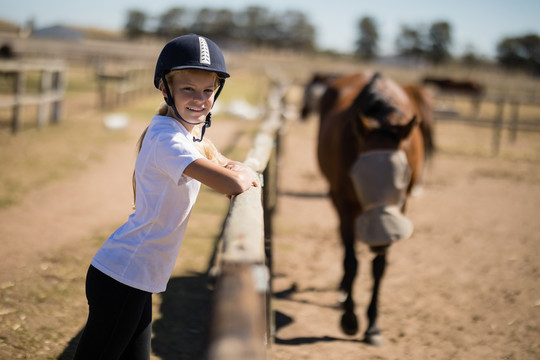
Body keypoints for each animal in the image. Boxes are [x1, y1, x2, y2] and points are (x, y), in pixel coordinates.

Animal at [314, 70, 432, 344]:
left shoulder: (400, 209)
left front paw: (373, 325)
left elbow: (379, 267)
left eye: (403, 181)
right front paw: (349, 319)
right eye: (358, 177)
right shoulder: (345, 205)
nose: (379, 239)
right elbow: (351, 261)